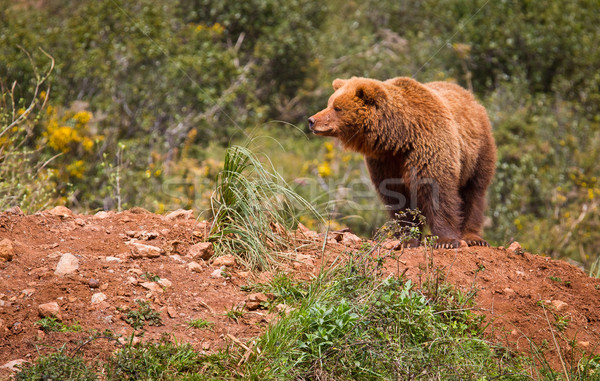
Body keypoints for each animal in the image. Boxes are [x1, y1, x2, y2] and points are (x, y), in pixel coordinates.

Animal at [308, 77, 494, 249]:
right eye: (329, 103)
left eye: (337, 108)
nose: (312, 120)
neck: (399, 137)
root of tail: (469, 96)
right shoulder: (385, 161)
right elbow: (398, 197)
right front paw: (407, 238)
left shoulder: (429, 146)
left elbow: (438, 191)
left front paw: (445, 241)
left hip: (478, 151)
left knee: (474, 193)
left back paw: (473, 237)